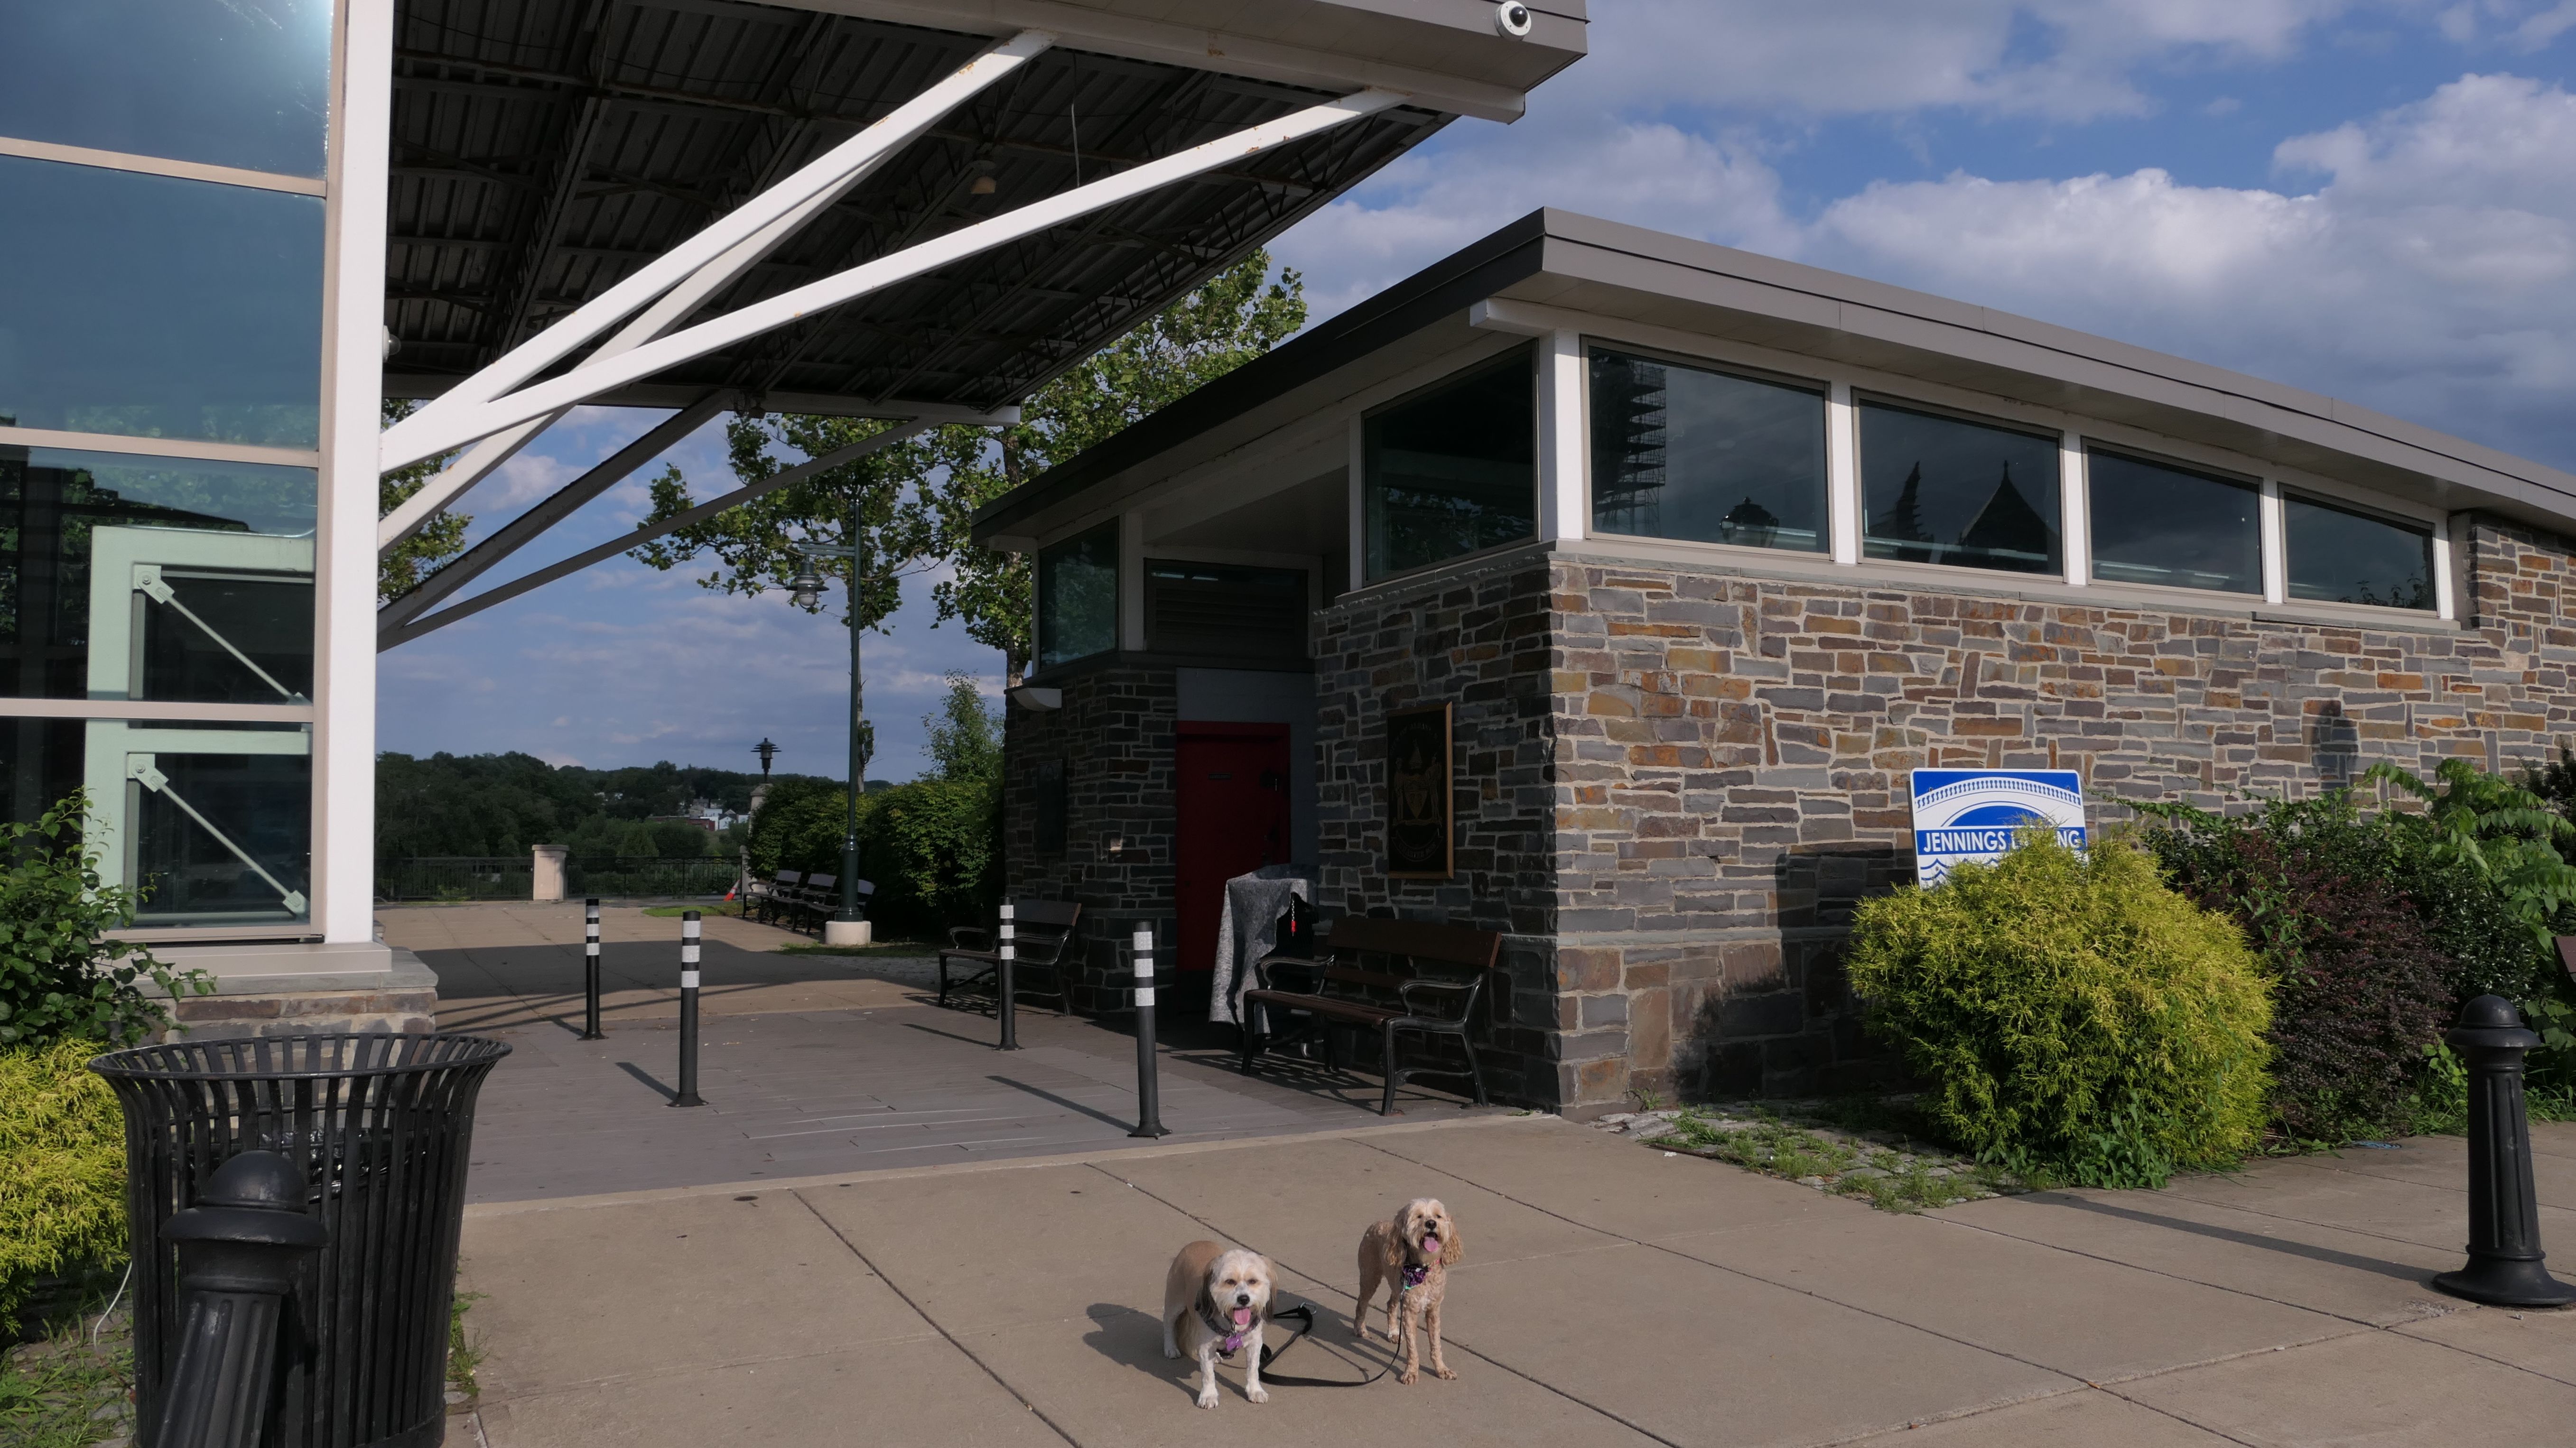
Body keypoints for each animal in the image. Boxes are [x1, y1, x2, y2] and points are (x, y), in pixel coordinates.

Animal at [1162, 1240, 1275, 1408]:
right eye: (1230, 1282)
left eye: (1253, 1281)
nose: (1244, 1299)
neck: (1232, 1325)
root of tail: (1197, 1243)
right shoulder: (1206, 1346)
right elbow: (1208, 1374)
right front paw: (1208, 1396)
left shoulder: (1255, 1343)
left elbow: (1253, 1369)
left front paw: (1255, 1391)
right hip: (1176, 1300)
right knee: (1168, 1322)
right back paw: (1171, 1348)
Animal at [1353, 1197, 1463, 1384]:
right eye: (1419, 1216)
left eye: (1438, 1216)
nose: (1431, 1223)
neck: (1423, 1268)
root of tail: (1376, 1224)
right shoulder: (1410, 1311)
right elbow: (1412, 1349)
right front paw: (1411, 1373)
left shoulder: (1433, 1310)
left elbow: (1436, 1345)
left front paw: (1442, 1369)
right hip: (1371, 1277)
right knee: (1362, 1303)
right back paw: (1360, 1329)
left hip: (1398, 1287)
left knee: (1390, 1304)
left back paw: (1393, 1333)